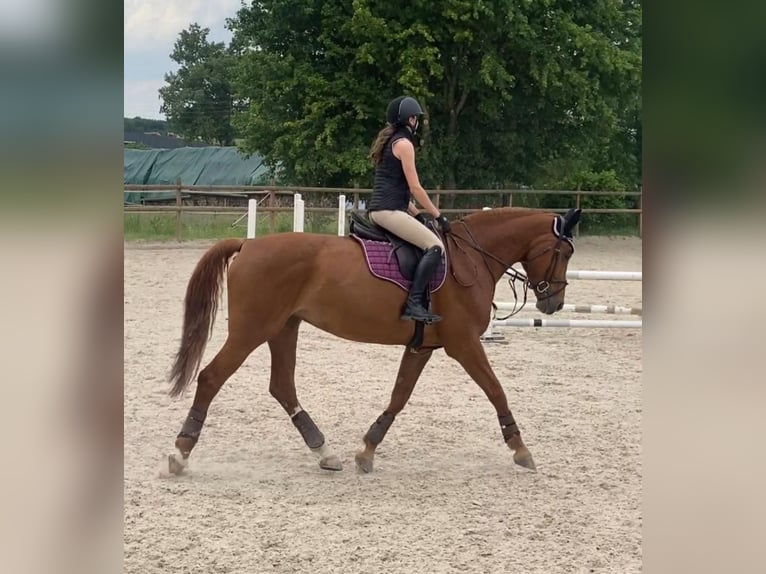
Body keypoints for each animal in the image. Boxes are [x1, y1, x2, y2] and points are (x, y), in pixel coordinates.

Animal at [164, 207, 584, 476]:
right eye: (563, 252)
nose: (554, 302)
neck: (471, 260)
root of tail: (248, 245)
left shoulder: (422, 346)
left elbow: (399, 396)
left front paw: (367, 450)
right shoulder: (464, 344)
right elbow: (496, 390)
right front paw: (521, 449)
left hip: (283, 328)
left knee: (282, 386)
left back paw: (324, 452)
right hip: (252, 330)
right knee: (211, 377)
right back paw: (181, 454)